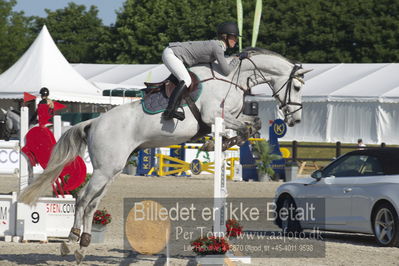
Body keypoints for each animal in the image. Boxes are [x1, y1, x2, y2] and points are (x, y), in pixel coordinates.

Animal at [19, 47, 312, 262]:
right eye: (297, 88)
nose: (296, 119)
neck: (234, 78)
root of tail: (95, 121)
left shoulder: (230, 118)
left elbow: (254, 125)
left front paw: (220, 143)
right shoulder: (215, 116)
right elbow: (248, 126)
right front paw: (213, 144)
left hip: (111, 169)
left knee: (91, 203)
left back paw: (84, 245)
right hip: (104, 170)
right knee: (81, 199)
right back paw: (70, 242)